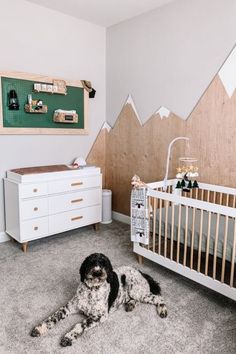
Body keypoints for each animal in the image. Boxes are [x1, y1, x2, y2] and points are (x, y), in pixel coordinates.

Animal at [30, 253, 168, 348]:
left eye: (104, 264)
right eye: (91, 263)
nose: (97, 273)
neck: (91, 290)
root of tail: (140, 272)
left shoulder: (100, 316)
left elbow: (80, 325)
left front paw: (68, 337)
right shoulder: (68, 307)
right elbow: (53, 317)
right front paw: (40, 328)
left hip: (137, 291)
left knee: (158, 298)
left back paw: (162, 310)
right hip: (135, 293)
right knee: (136, 299)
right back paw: (130, 305)